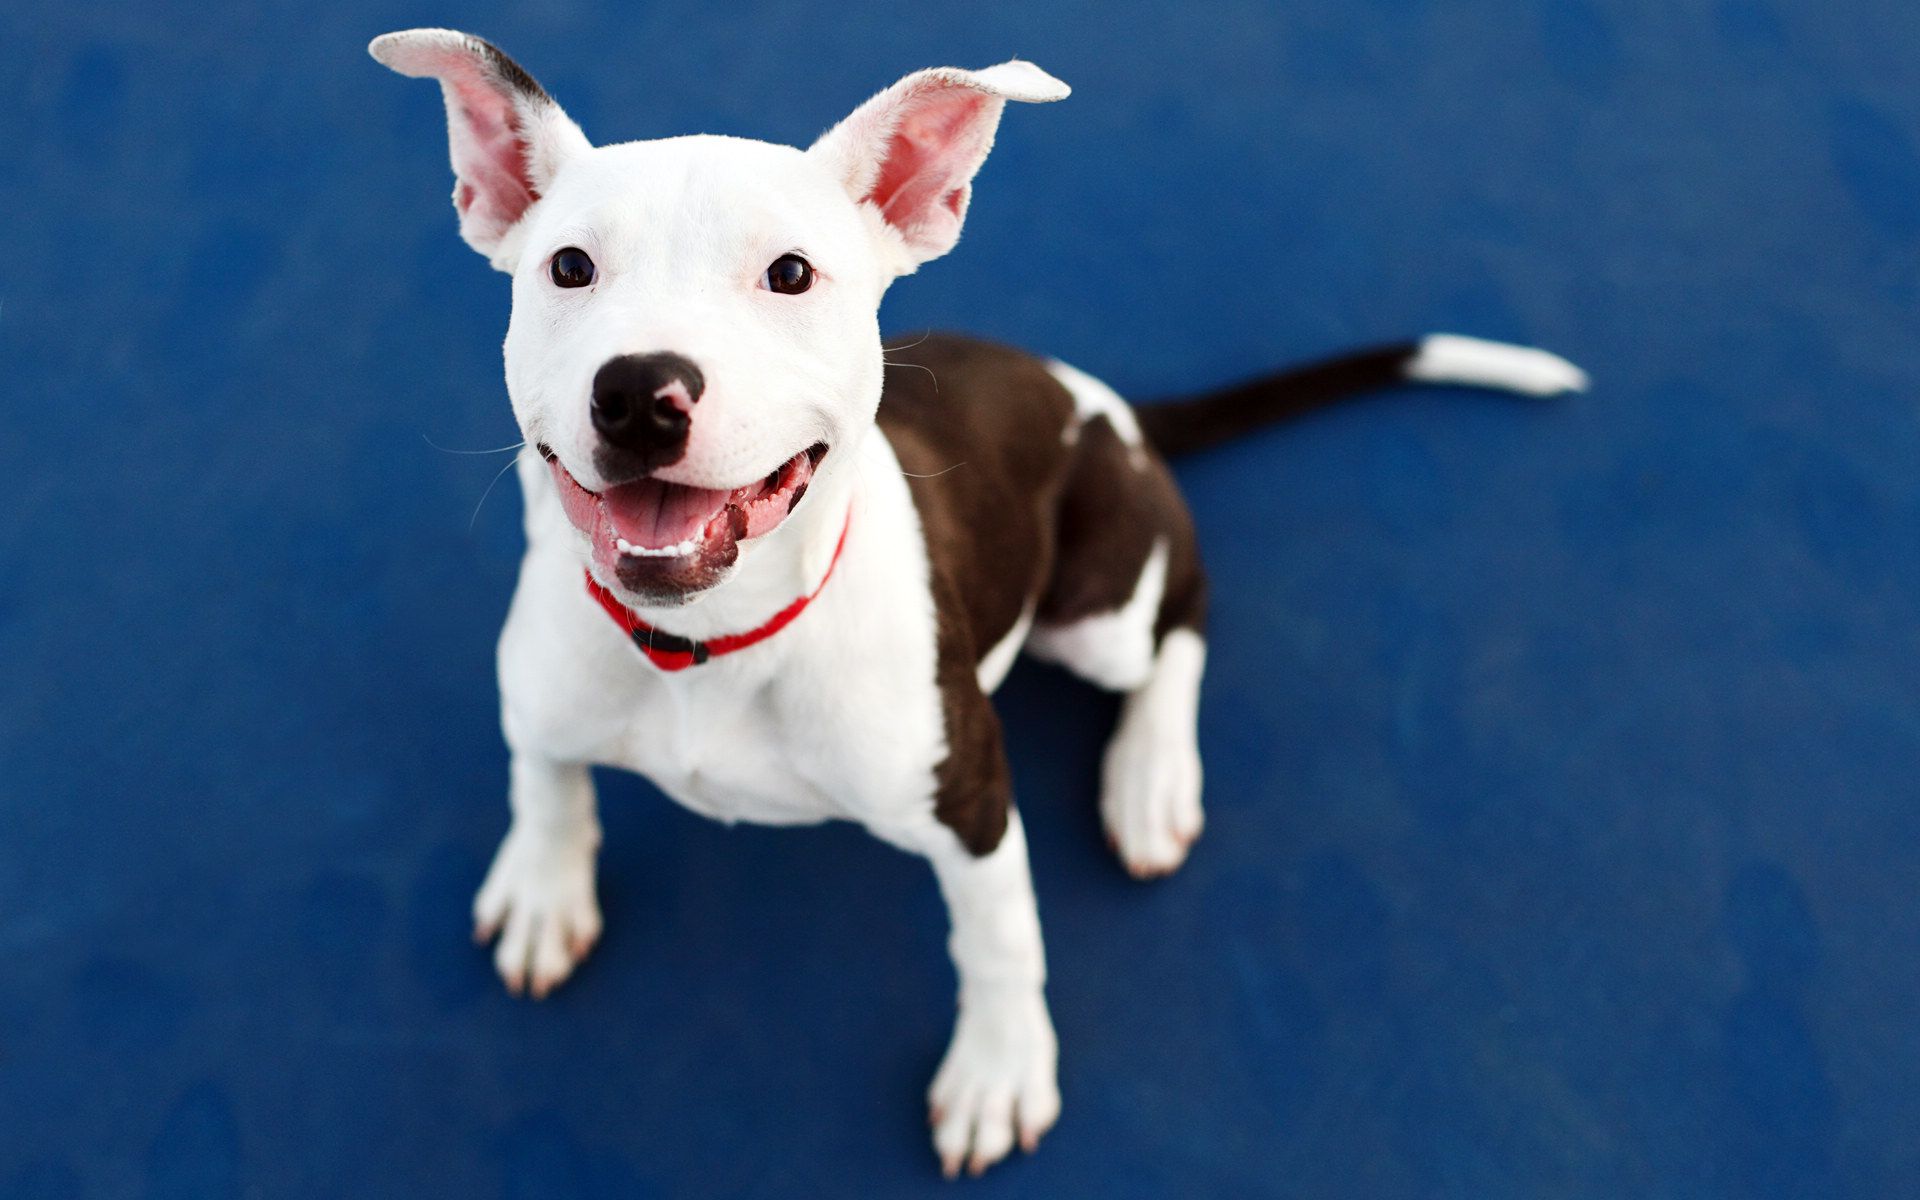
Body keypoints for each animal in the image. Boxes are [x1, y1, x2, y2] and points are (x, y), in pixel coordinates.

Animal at [366, 30, 1582, 1182]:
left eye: (791, 274)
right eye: (569, 266)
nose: (636, 393)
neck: (708, 645)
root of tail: (1106, 401)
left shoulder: (974, 802)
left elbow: (999, 942)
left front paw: (1000, 1070)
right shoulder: (538, 689)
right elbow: (544, 775)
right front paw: (544, 884)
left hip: (1099, 608)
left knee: (1183, 616)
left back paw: (1150, 778)